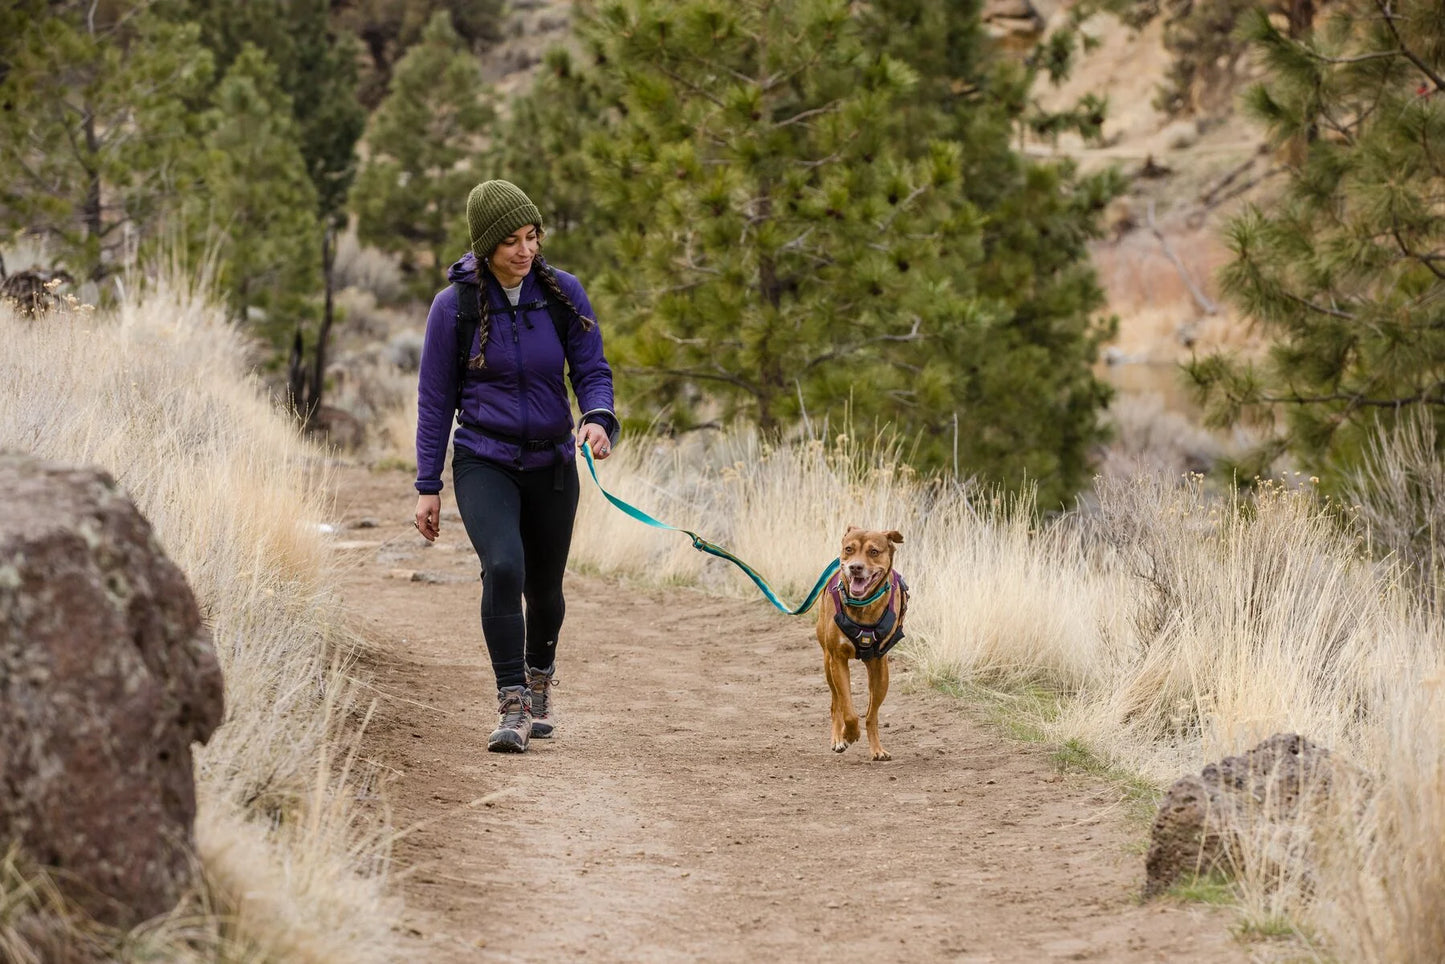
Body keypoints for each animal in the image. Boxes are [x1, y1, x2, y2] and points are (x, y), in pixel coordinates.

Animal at [820, 528, 907, 763]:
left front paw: (875, 747)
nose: (855, 567)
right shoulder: (838, 659)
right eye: (849, 549)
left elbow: (871, 715)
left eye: (874, 551)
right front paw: (848, 735)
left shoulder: (879, 665)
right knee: (835, 703)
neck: (863, 607)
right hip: (828, 663)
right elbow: (849, 711)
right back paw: (837, 738)